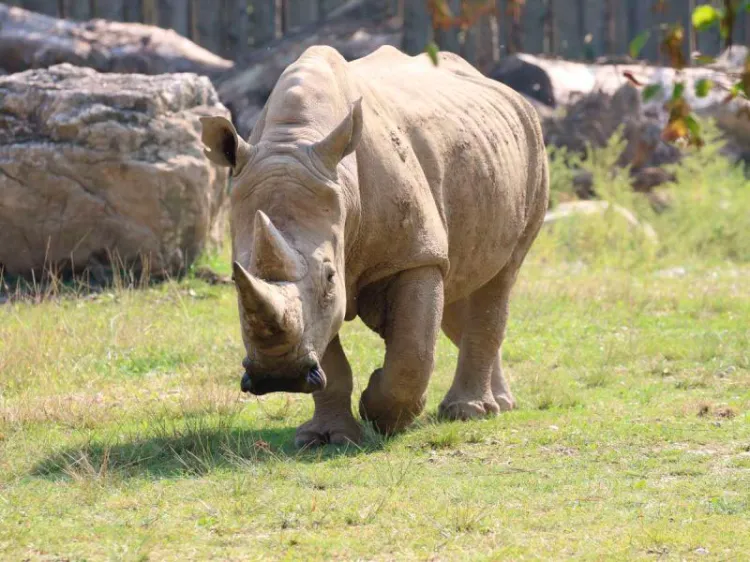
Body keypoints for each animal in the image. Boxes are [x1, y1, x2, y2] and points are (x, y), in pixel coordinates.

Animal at [203, 44, 548, 446]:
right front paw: (327, 437)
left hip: (534, 148)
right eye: (234, 278)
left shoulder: (416, 254)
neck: (294, 138)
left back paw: (470, 413)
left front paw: (381, 415)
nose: (279, 377)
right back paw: (500, 404)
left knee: (500, 279)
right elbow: (329, 353)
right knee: (462, 286)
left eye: (329, 277)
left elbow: (413, 349)